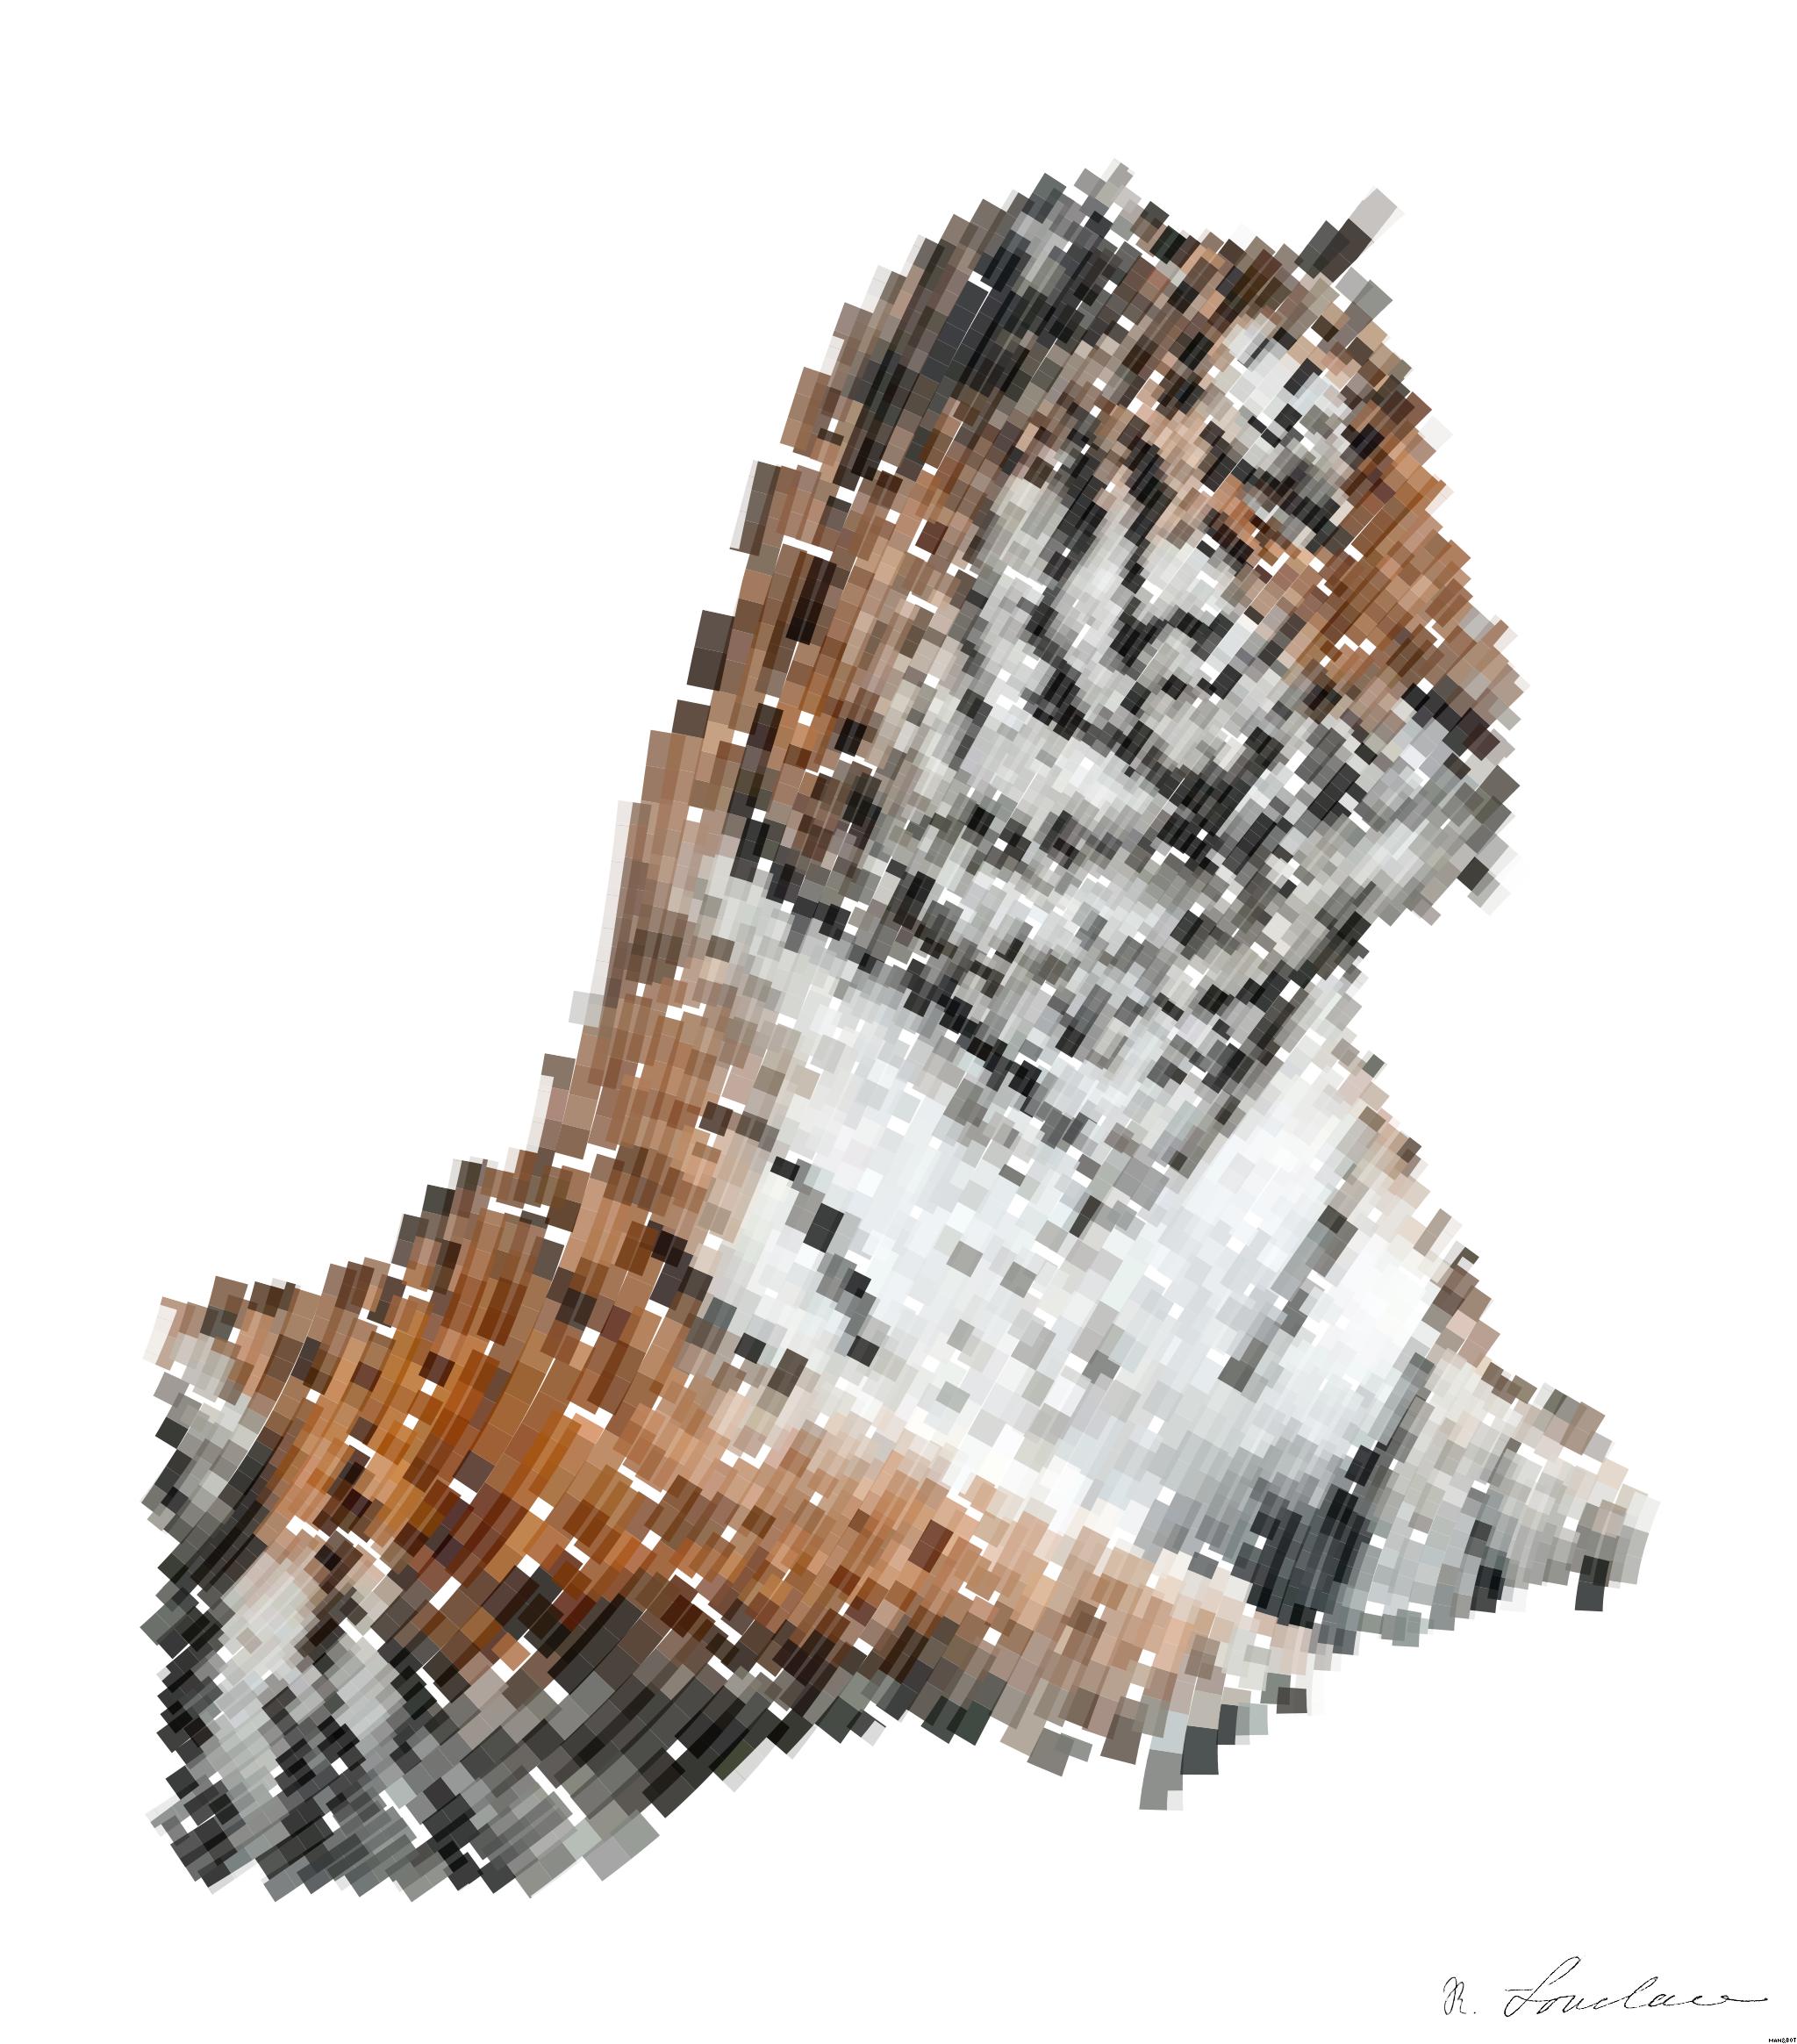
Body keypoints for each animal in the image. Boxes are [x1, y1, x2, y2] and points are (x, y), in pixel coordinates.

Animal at [147, 167, 1653, 1893]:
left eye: (1430, 477)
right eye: (1284, 482)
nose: (1491, 716)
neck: (1130, 1031)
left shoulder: (1378, 1398)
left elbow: (1535, 1465)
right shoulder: (670, 1430)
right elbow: (944, 1524)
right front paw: (1212, 1649)